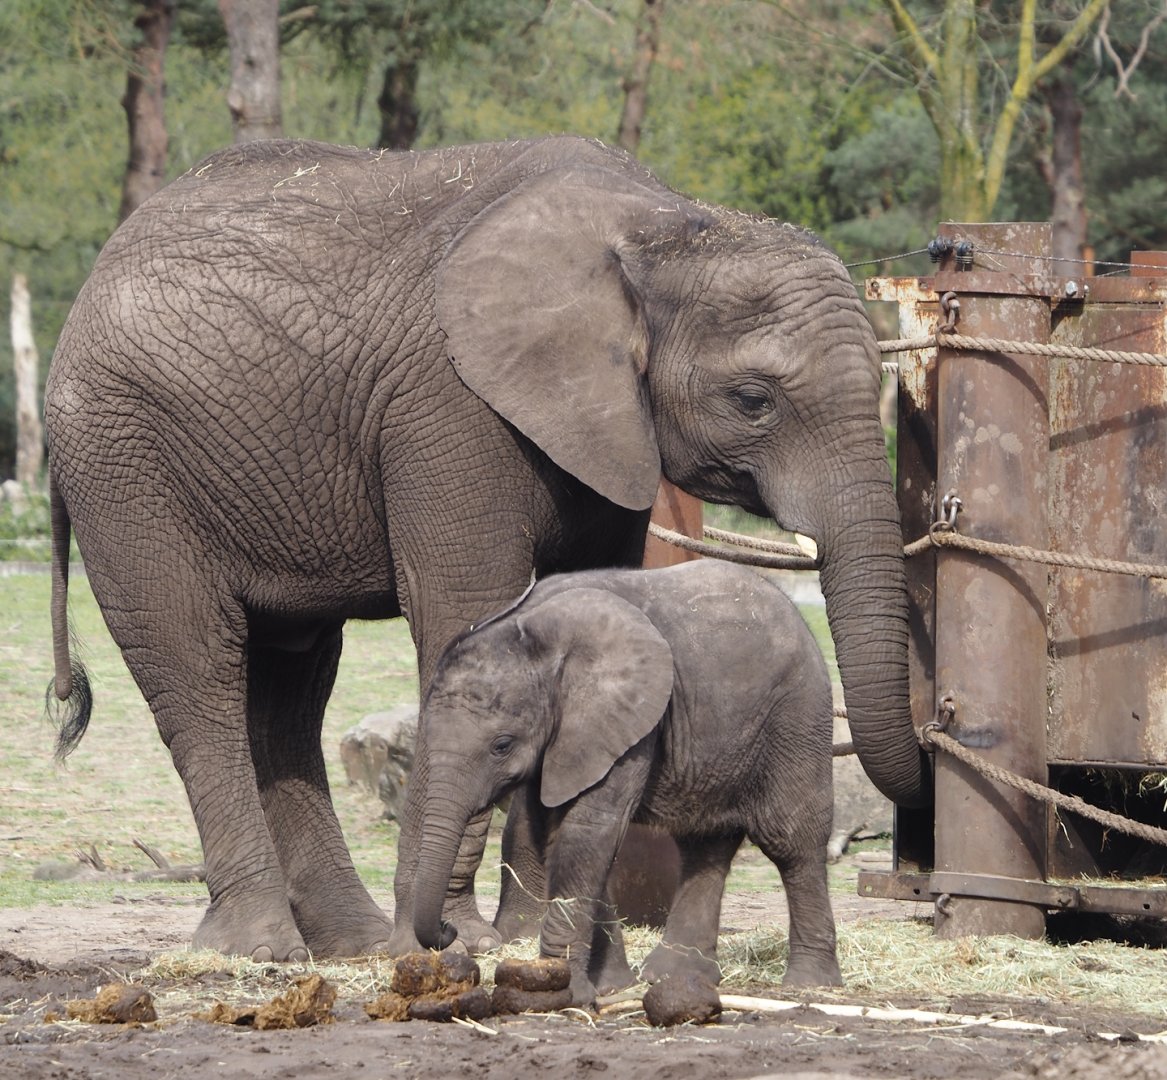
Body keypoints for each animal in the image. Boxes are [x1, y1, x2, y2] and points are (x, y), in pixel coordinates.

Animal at [412, 559, 844, 1006]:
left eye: (501, 745)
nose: (449, 931)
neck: (531, 629)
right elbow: (559, 831)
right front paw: (612, 986)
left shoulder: (625, 724)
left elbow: (587, 829)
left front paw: (569, 991)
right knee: (704, 844)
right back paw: (676, 975)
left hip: (797, 712)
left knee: (791, 841)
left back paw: (809, 984)